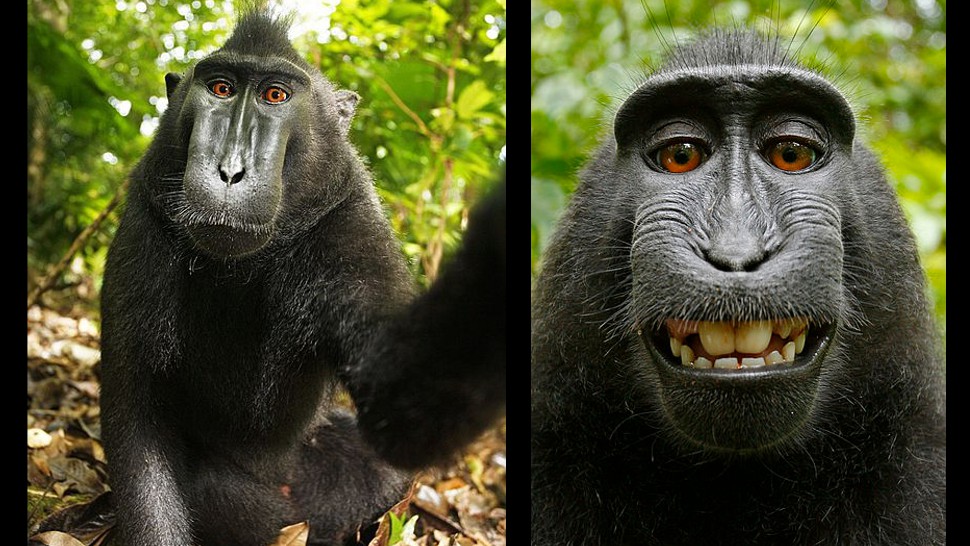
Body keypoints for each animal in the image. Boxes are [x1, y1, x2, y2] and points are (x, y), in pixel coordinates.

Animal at [99, 10, 505, 546]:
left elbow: (403, 412)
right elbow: (136, 416)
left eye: (275, 95)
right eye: (221, 88)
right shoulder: (146, 225)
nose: (230, 171)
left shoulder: (350, 227)